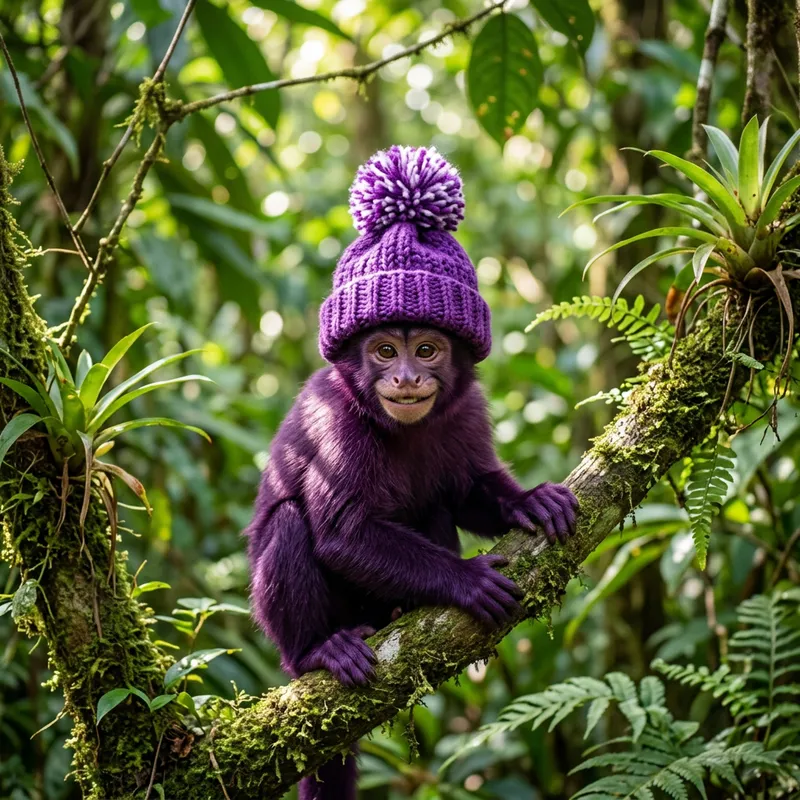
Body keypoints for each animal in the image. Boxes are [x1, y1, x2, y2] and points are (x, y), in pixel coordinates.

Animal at [245, 145, 578, 800]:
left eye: (426, 349)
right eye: (383, 351)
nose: (404, 377)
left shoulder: (469, 408)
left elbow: (469, 488)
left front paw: (530, 501)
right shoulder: (336, 417)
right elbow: (341, 533)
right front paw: (465, 580)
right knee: (292, 524)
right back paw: (320, 652)